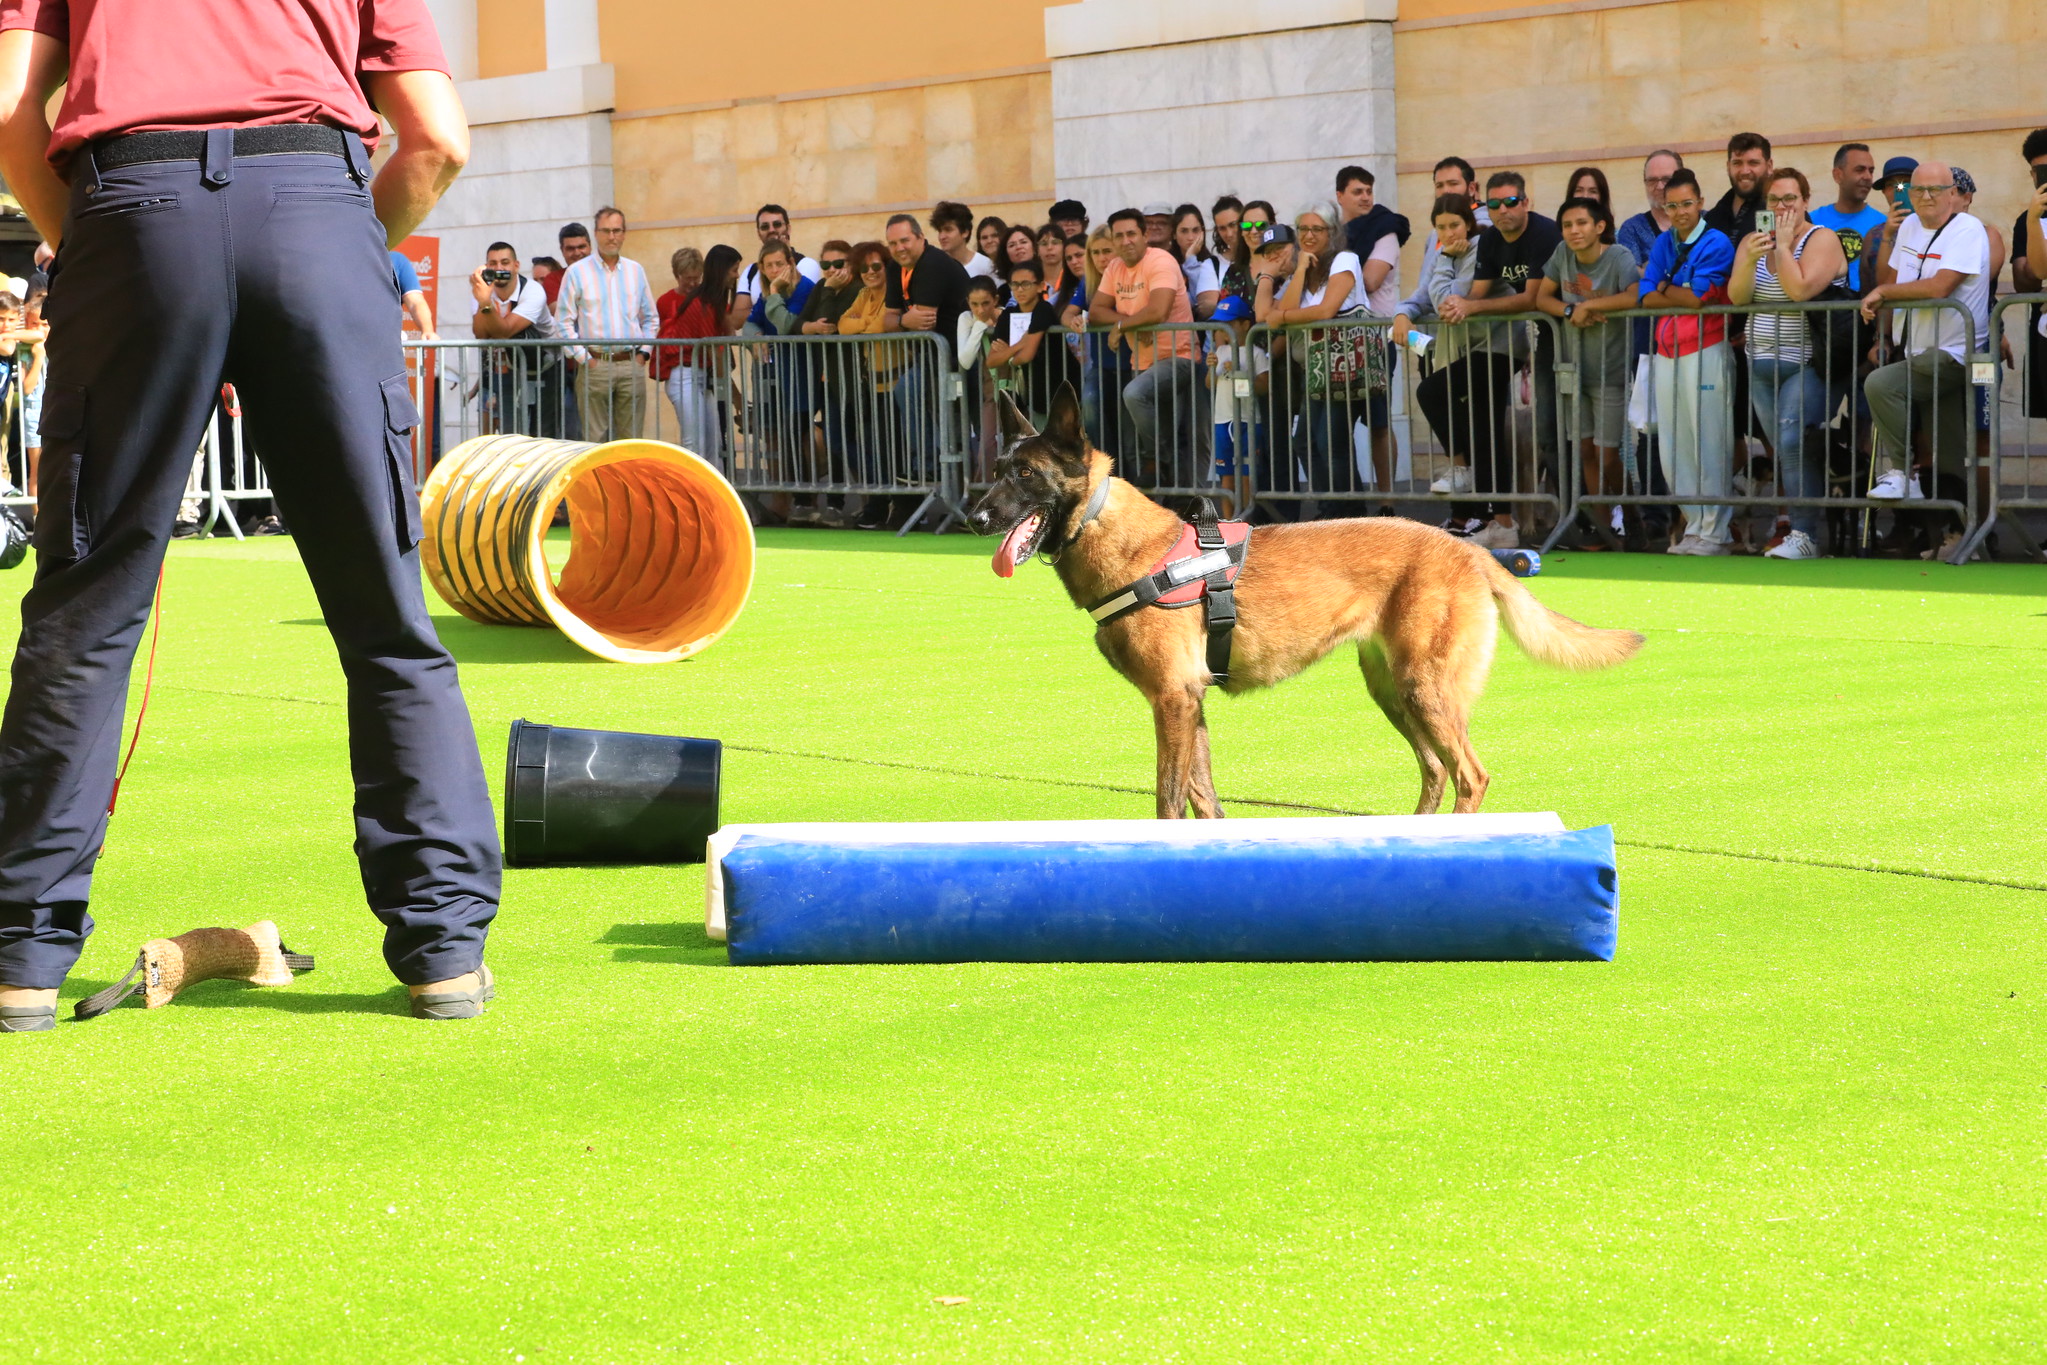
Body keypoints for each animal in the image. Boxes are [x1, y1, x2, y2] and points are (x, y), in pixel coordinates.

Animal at [970, 384, 1645, 818]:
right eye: (997, 470)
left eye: (1025, 475)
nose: (975, 518)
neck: (1126, 541)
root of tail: (1467, 551)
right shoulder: (1191, 704)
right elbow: (1205, 803)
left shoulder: (1172, 700)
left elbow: (1168, 802)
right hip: (1395, 691)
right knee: (1435, 771)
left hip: (1425, 688)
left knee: (1469, 776)